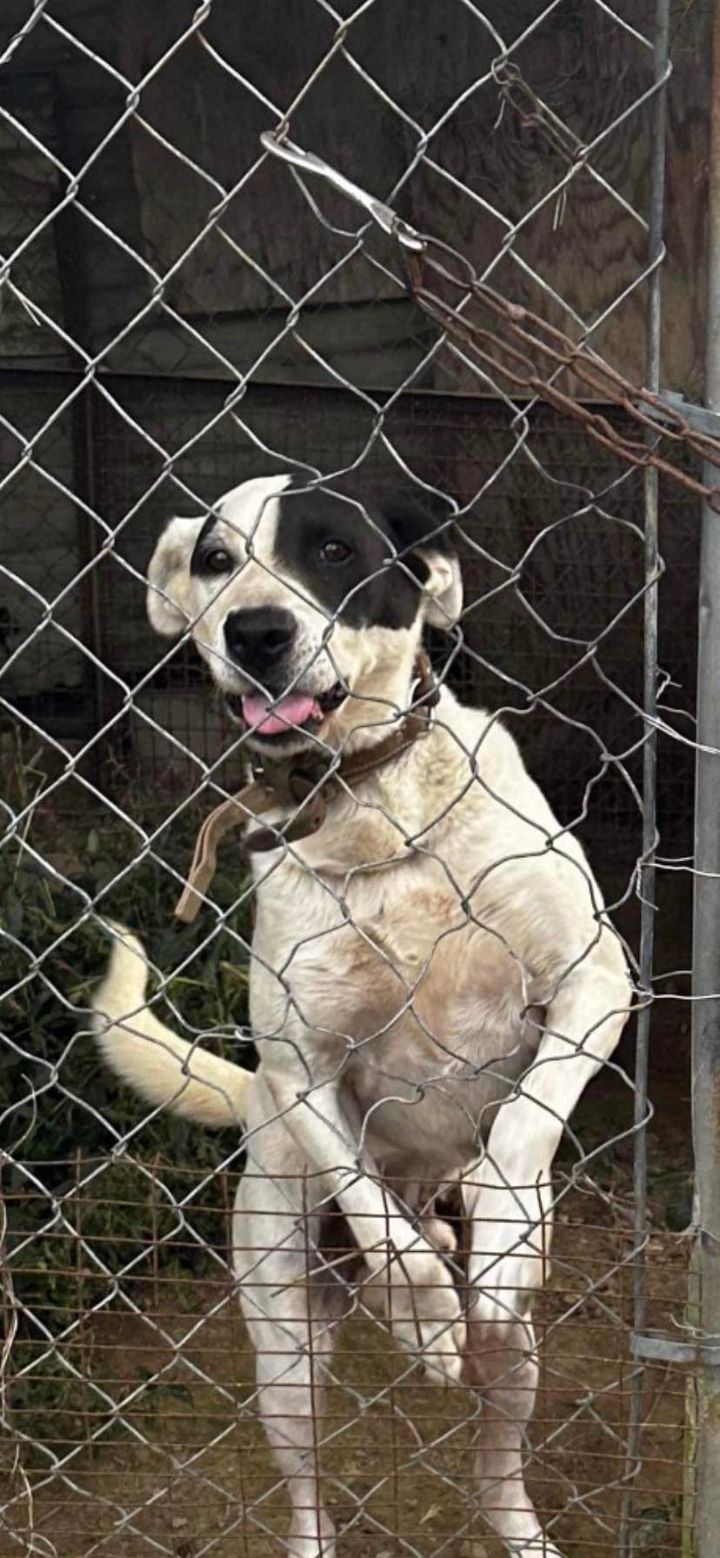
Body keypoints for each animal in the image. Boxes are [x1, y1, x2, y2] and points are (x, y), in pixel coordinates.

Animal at [94, 473, 629, 1558]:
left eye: (334, 550)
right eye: (215, 560)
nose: (257, 631)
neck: (377, 805)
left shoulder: (597, 980)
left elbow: (524, 1124)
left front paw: (498, 1231)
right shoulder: (299, 1067)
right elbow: (376, 1210)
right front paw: (418, 1307)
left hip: (514, 1354)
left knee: (497, 1464)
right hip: (285, 1350)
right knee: (308, 1491)